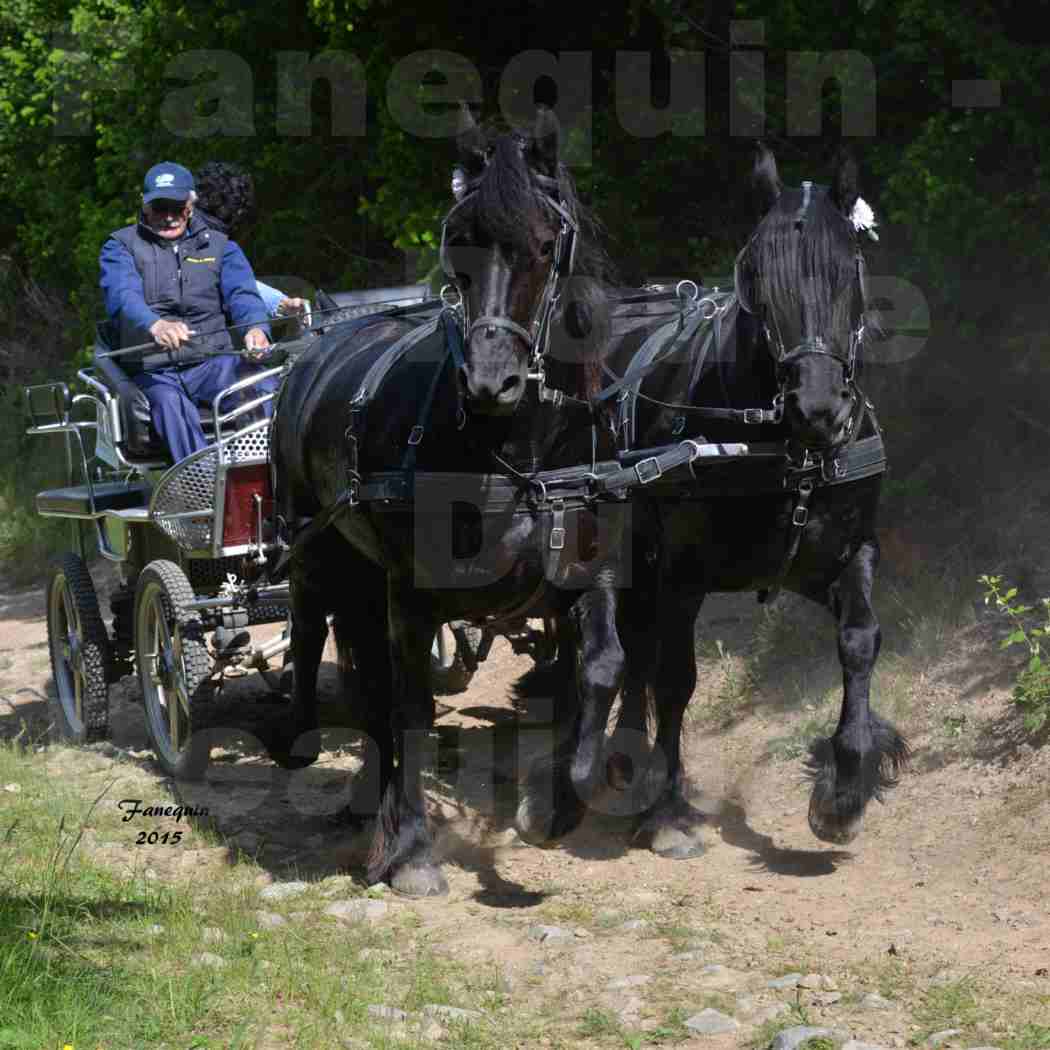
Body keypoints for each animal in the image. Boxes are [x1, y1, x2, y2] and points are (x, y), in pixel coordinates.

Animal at [273, 104, 630, 894]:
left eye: (545, 244)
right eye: (455, 244)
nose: (491, 381)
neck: (516, 450)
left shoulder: (585, 570)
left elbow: (599, 667)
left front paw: (556, 804)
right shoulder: (411, 591)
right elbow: (410, 704)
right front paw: (410, 852)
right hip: (317, 551)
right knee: (319, 638)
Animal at [518, 143, 911, 856]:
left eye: (850, 268)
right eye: (755, 273)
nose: (819, 407)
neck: (784, 450)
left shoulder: (843, 555)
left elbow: (860, 641)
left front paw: (844, 787)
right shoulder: (682, 574)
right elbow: (677, 678)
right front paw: (669, 811)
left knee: (630, 652)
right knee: (595, 652)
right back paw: (567, 786)